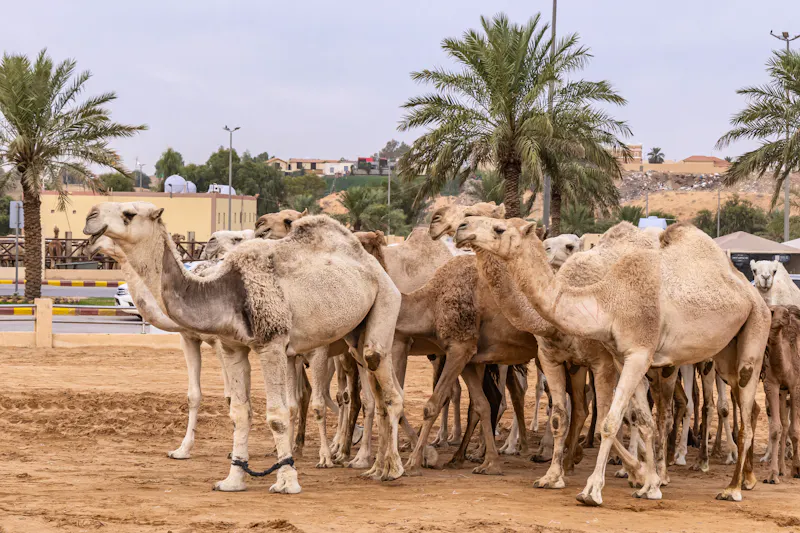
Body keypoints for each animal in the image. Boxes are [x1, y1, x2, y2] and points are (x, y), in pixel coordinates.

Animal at [84, 203, 404, 493]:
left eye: (129, 213)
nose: (90, 217)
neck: (222, 289)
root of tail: (370, 262)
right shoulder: (231, 346)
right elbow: (239, 411)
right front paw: (233, 479)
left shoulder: (271, 342)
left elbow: (276, 415)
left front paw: (287, 481)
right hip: (352, 334)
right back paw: (375, 463)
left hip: (385, 301)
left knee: (384, 382)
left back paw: (388, 468)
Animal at [455, 217, 770, 504]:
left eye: (498, 228)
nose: (461, 228)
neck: (609, 301)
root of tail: (751, 290)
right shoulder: (619, 358)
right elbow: (639, 419)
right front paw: (647, 485)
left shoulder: (634, 355)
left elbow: (610, 421)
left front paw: (593, 490)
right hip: (725, 353)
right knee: (743, 405)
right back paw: (744, 478)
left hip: (754, 333)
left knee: (741, 415)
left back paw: (732, 488)